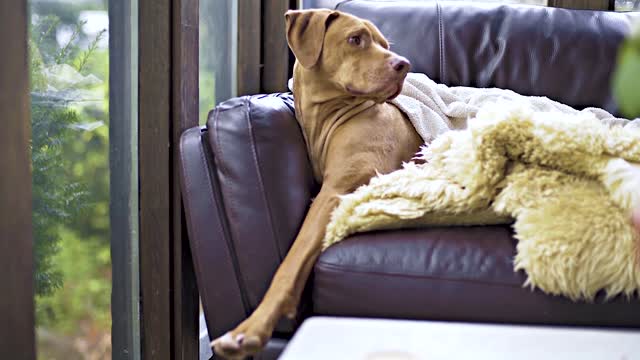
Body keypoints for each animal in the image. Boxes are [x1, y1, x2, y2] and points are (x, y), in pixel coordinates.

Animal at [211, 9, 424, 358]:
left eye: (384, 44)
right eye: (356, 39)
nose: (404, 65)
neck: (328, 116)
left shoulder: (335, 193)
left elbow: (291, 261)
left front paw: (250, 330)